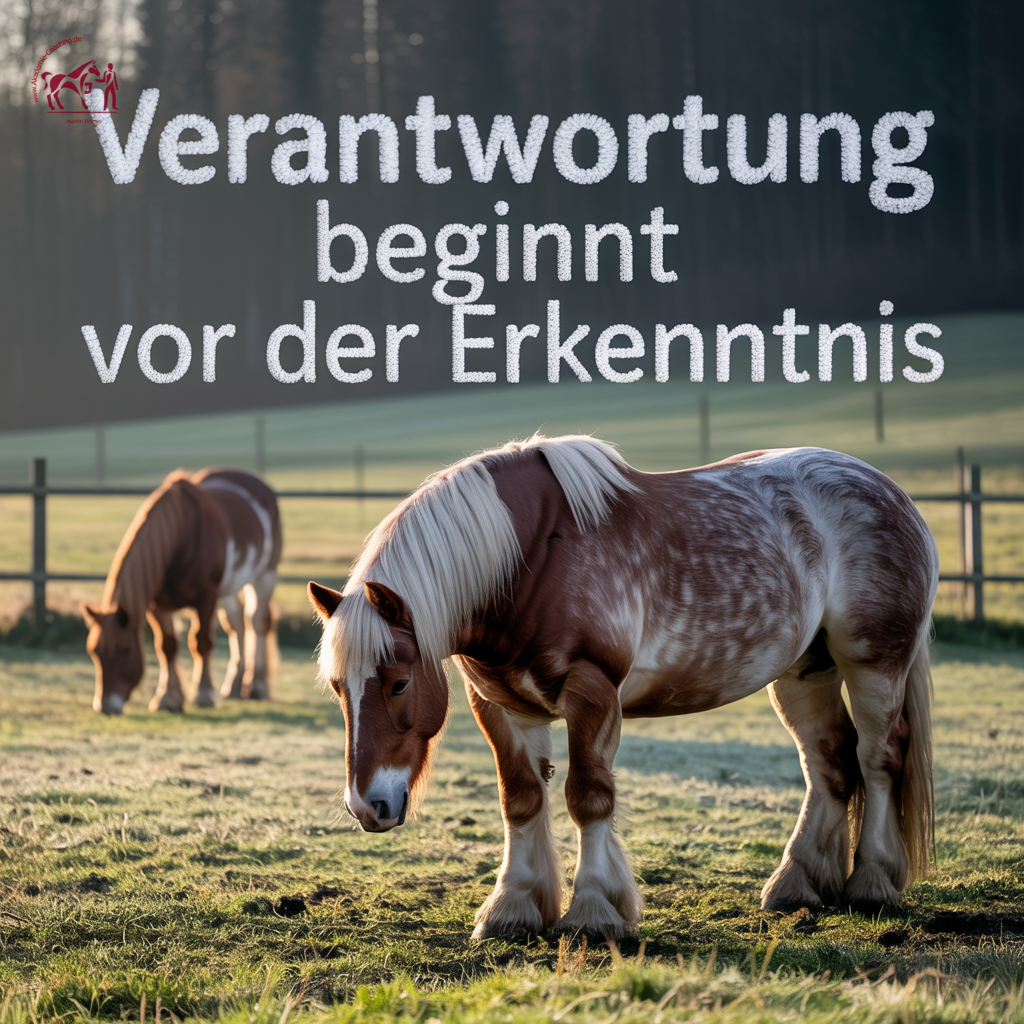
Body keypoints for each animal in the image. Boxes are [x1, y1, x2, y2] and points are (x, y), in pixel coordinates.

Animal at [84, 468, 281, 715]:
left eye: (125, 650)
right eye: (94, 652)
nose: (105, 706)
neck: (181, 536)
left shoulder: (206, 598)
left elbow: (201, 642)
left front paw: (204, 694)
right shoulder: (156, 605)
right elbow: (166, 646)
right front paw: (168, 698)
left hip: (265, 575)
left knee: (258, 622)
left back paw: (258, 686)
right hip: (228, 590)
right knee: (237, 625)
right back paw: (234, 686)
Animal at [308, 435, 937, 940]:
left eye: (398, 683)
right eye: (338, 687)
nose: (367, 806)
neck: (530, 561)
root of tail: (891, 491)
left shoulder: (592, 691)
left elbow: (588, 796)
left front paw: (594, 911)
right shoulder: (502, 705)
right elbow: (522, 799)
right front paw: (512, 908)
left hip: (874, 663)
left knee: (878, 757)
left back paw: (872, 882)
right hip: (806, 671)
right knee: (829, 763)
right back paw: (796, 884)